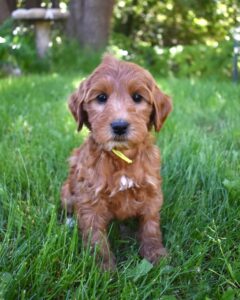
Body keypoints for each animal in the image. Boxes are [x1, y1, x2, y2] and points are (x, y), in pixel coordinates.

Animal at [61, 54, 172, 270]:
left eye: (137, 97)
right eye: (101, 98)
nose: (119, 126)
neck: (121, 157)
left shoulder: (152, 191)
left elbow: (150, 225)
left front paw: (155, 254)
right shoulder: (90, 198)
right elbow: (95, 236)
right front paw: (102, 268)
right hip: (66, 190)